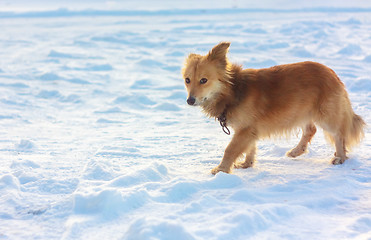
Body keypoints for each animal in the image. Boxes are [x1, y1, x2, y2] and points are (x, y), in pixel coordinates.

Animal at [183, 41, 366, 174]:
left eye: (204, 80)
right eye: (187, 80)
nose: (190, 100)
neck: (233, 91)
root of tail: (332, 73)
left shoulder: (245, 129)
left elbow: (230, 149)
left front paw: (221, 170)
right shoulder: (248, 130)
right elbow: (250, 147)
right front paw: (247, 164)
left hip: (325, 116)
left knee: (338, 135)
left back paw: (340, 157)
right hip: (300, 111)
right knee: (311, 130)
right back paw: (296, 151)